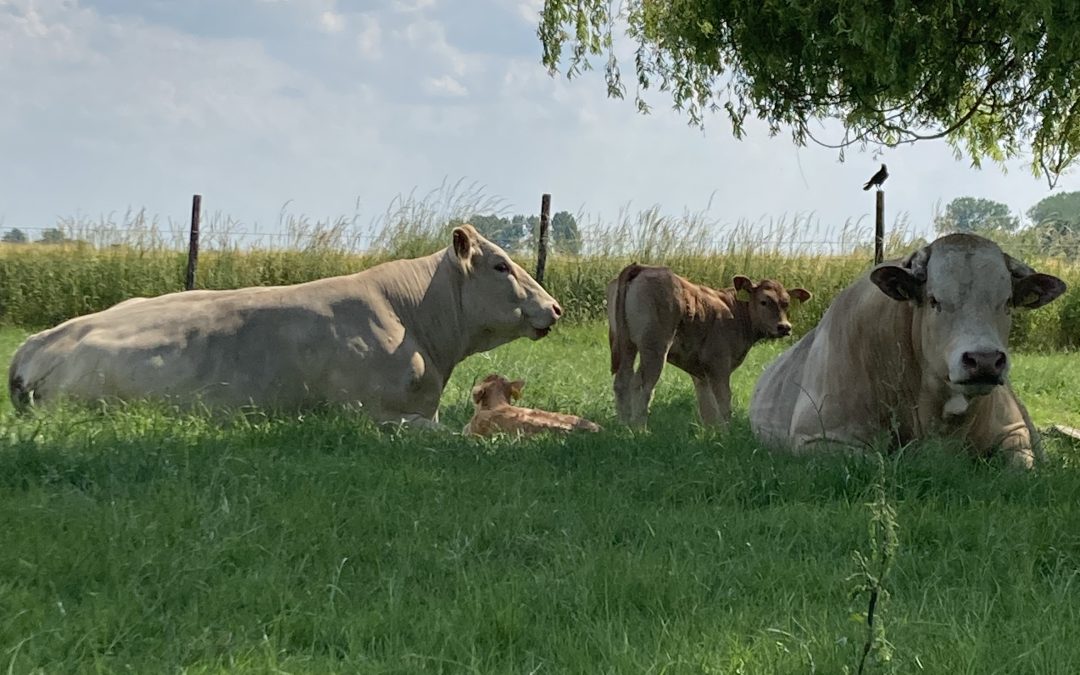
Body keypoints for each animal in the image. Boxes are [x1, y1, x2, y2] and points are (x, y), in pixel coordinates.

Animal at [609, 263, 812, 425]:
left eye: (786, 304)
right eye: (763, 301)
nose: (784, 327)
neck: (735, 312)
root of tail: (643, 267)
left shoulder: (701, 374)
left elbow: (707, 407)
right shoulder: (719, 363)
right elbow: (723, 401)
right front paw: (726, 433)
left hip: (627, 344)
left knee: (622, 381)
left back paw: (624, 426)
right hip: (654, 347)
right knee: (640, 383)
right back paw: (639, 429)